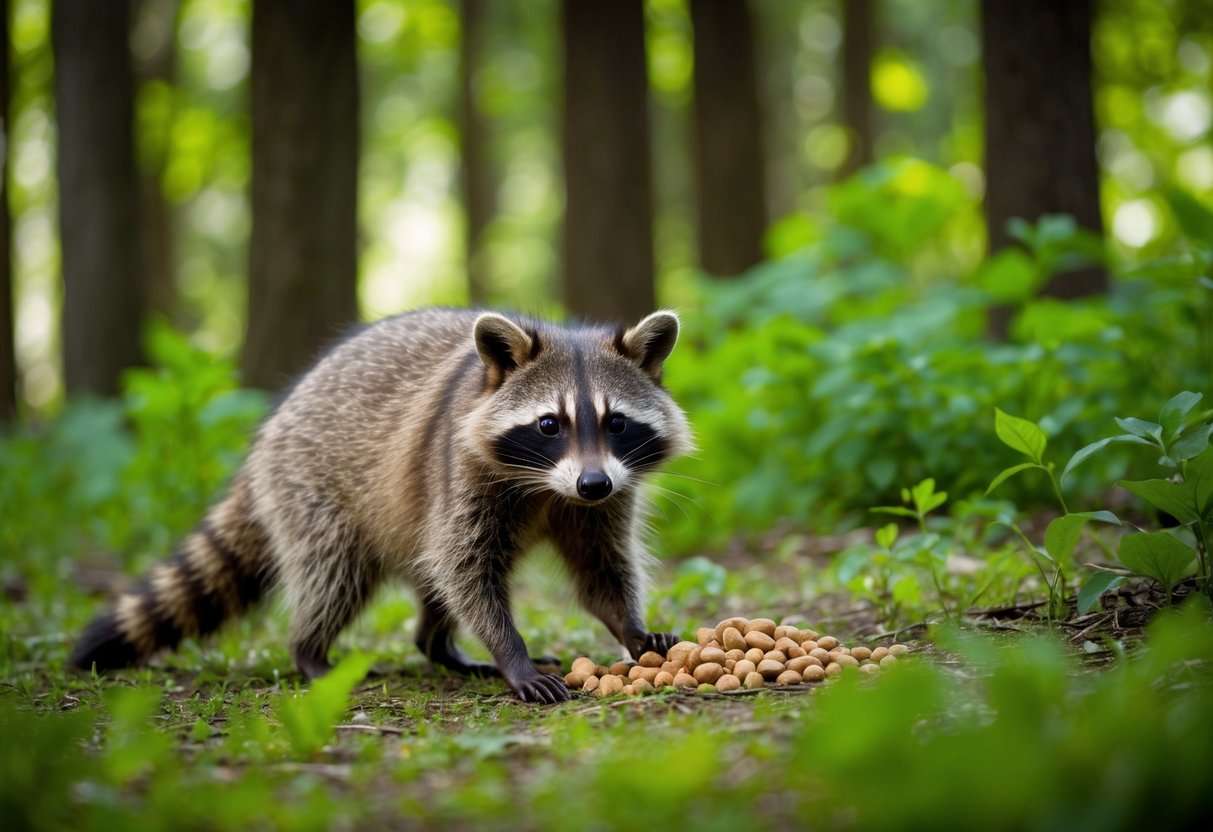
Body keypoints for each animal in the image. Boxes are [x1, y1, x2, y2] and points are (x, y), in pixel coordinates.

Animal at [71, 308, 693, 703]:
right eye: (548, 424)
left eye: (616, 422)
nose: (592, 484)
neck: (548, 486)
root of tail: (268, 435)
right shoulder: (460, 472)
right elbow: (468, 571)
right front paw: (510, 651)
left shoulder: (606, 496)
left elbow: (599, 567)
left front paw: (631, 627)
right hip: (312, 488)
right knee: (336, 574)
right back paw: (310, 649)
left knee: (431, 576)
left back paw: (438, 646)